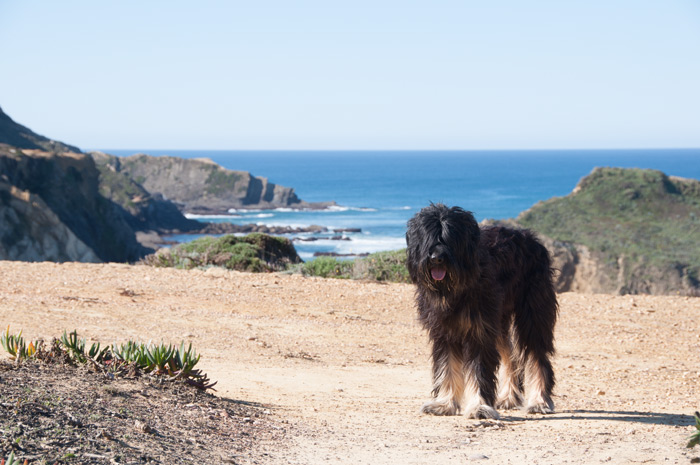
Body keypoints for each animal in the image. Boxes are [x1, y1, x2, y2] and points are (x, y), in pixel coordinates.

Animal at [404, 203, 556, 416]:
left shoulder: (479, 330)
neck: (456, 289)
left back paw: (539, 401)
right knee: (511, 355)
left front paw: (479, 406)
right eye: (428, 236)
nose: (436, 258)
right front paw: (444, 403)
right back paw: (509, 397)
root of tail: (533, 239)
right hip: (499, 318)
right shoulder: (445, 331)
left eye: (450, 237)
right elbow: (447, 366)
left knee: (537, 355)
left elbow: (479, 370)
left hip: (533, 311)